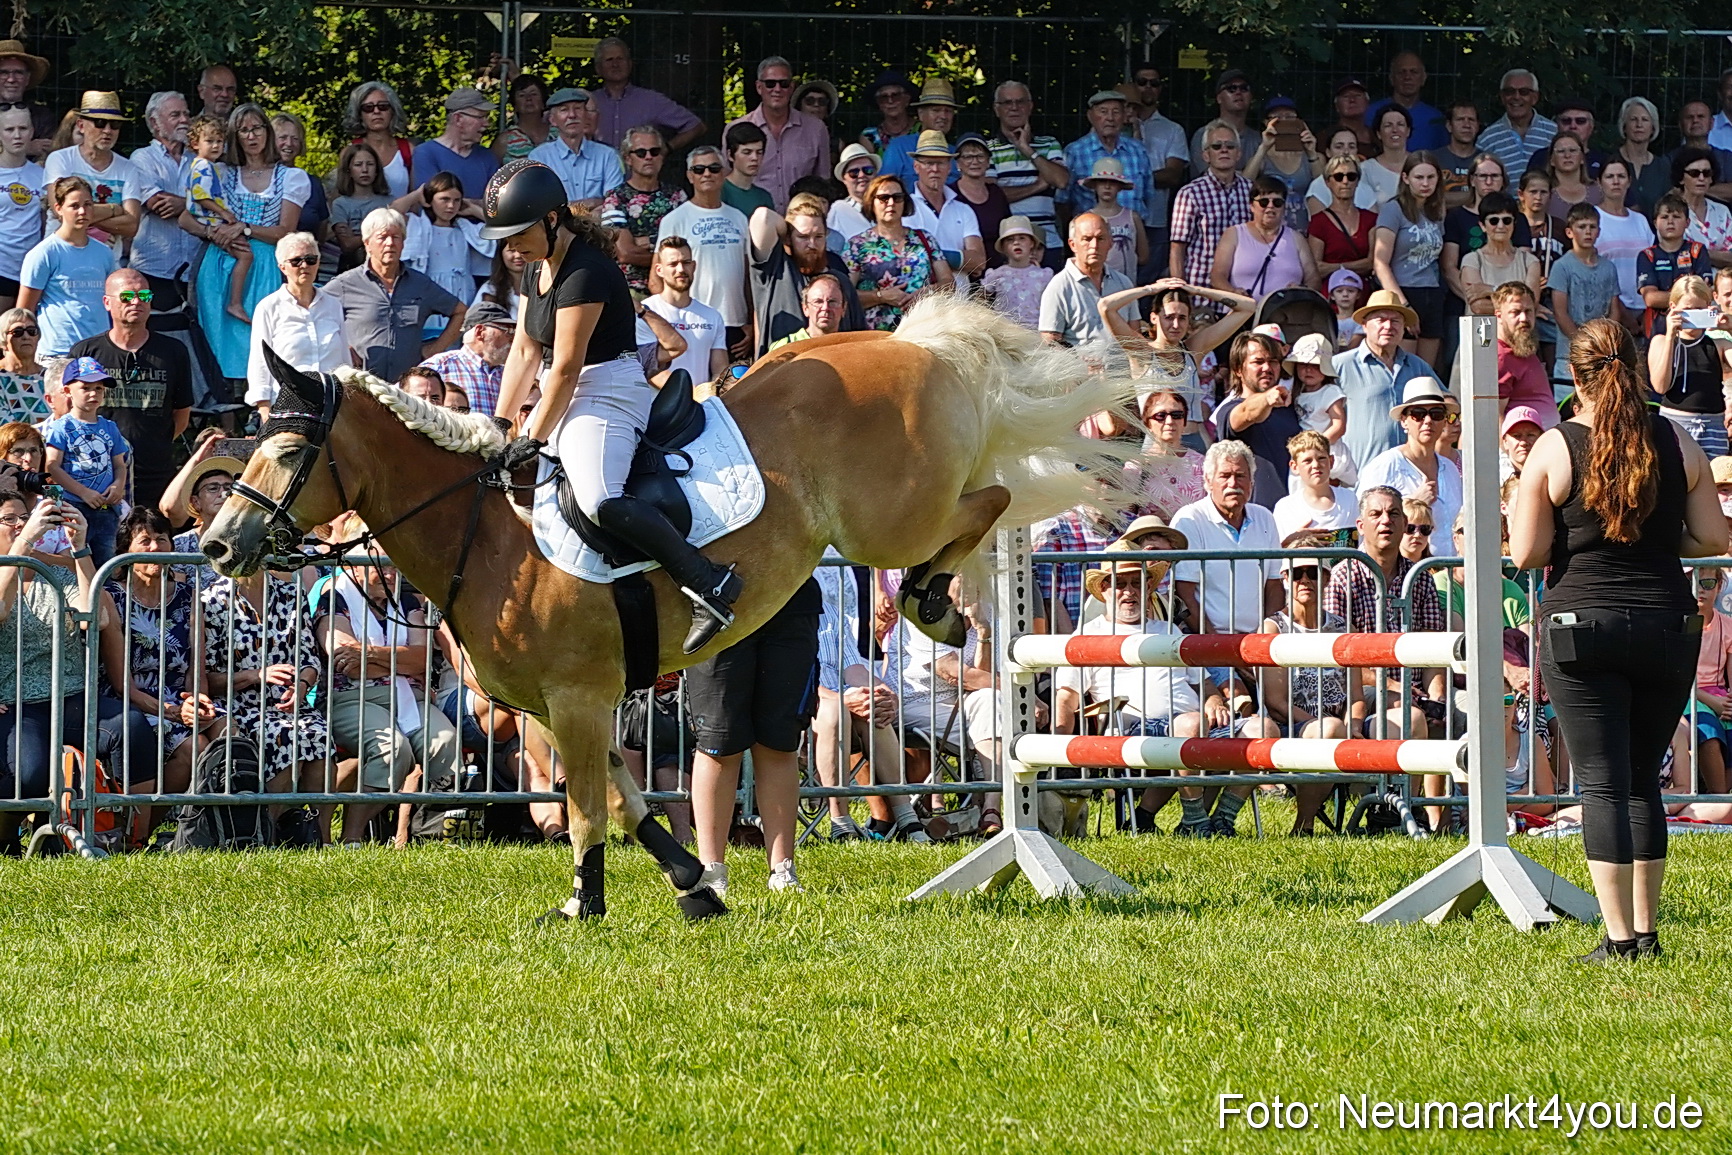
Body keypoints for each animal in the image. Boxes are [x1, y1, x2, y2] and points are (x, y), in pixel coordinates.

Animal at [199, 295, 1130, 922]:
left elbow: (589, 805)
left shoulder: (578, 697)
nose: (214, 546)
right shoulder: (566, 705)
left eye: (288, 447)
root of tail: (911, 344)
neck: (490, 533)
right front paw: (693, 884)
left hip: (892, 517)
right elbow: (623, 797)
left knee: (991, 500)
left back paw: (936, 601)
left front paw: (584, 904)